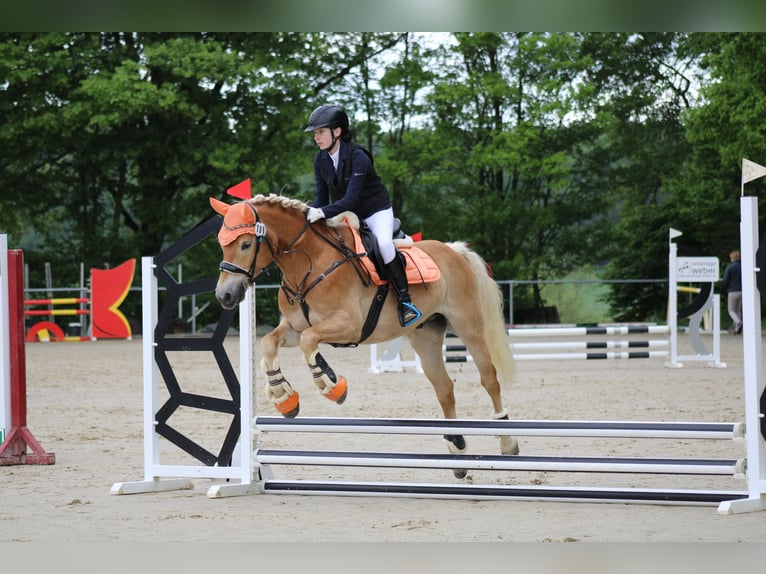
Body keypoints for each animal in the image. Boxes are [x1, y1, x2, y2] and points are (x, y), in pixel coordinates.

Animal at [210, 194, 518, 476]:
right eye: (221, 244)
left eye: (246, 244)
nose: (225, 296)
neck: (309, 263)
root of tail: (454, 250)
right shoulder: (293, 329)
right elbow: (270, 342)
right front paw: (283, 395)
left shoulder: (349, 324)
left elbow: (310, 341)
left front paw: (331, 386)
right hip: (425, 335)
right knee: (444, 388)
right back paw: (457, 450)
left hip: (468, 325)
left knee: (489, 378)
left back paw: (507, 443)